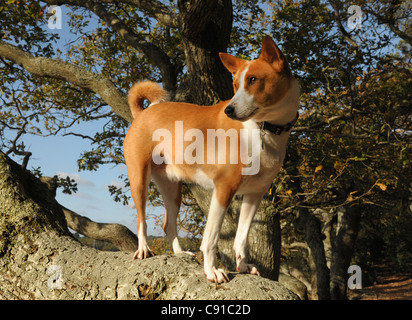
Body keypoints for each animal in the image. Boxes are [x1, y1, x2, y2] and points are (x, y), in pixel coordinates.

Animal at [122, 36, 300, 284]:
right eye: (235, 85)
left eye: (253, 80)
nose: (229, 110)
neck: (264, 130)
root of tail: (144, 113)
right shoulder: (223, 188)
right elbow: (211, 239)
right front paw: (212, 271)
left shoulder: (255, 195)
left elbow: (241, 238)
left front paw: (243, 266)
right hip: (139, 179)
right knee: (142, 221)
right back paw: (143, 249)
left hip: (172, 189)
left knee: (169, 224)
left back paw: (179, 253)